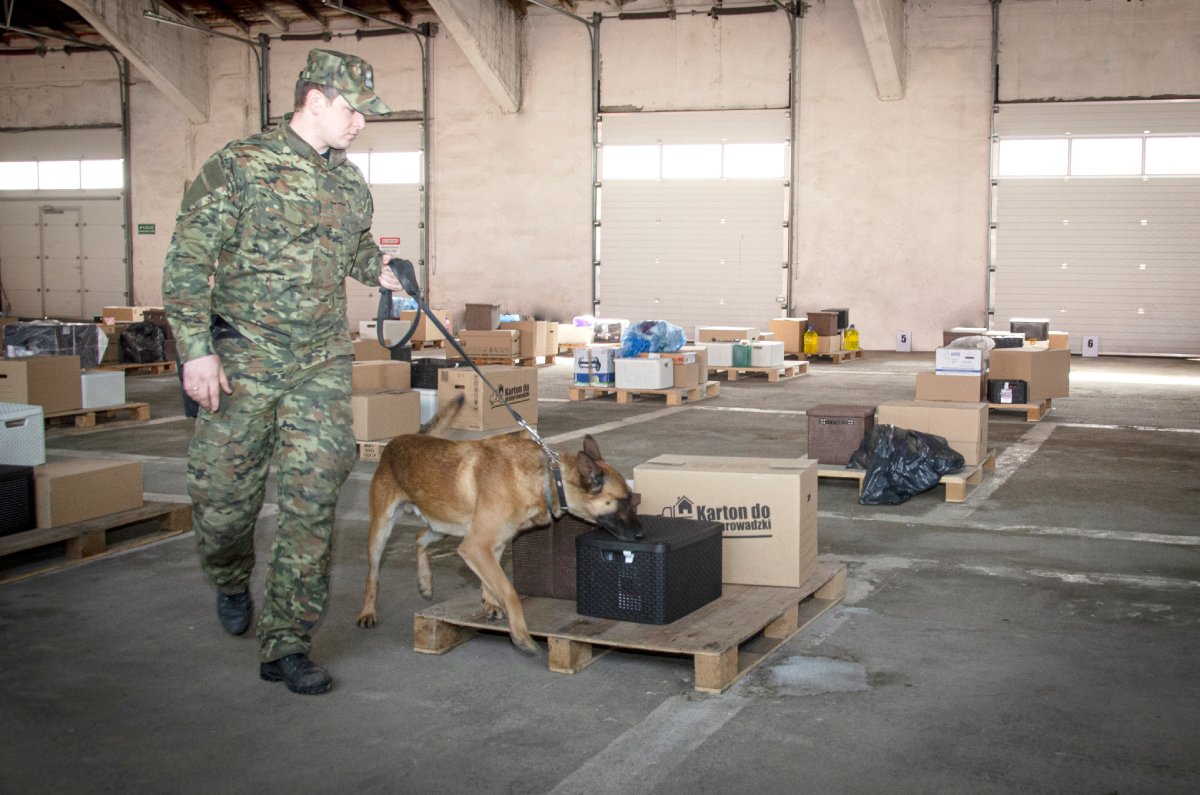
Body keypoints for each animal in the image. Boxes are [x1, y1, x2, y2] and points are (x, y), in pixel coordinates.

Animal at [352, 396, 638, 658]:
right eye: (623, 501)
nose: (641, 533)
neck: (547, 479)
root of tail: (398, 441)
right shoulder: (476, 546)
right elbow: (509, 592)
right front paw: (521, 636)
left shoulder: (491, 545)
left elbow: (492, 582)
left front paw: (489, 603)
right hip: (382, 530)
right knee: (372, 576)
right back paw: (367, 612)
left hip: (442, 527)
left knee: (419, 537)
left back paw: (425, 582)